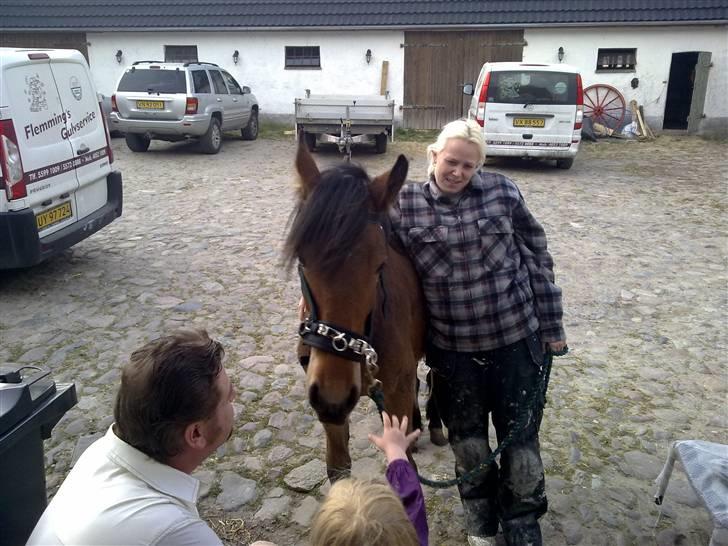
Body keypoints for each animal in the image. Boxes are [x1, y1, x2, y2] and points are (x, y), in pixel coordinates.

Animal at [284, 137, 426, 480]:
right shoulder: (330, 412)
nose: (333, 394)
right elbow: (338, 469)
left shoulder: (396, 394)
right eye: (302, 260)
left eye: (380, 265)